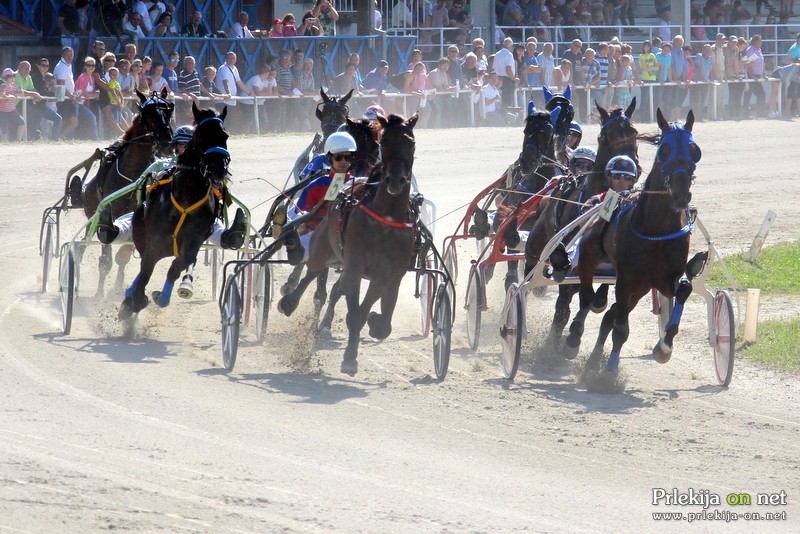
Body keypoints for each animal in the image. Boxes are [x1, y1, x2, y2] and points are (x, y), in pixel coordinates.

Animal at [79, 88, 173, 298]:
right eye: (150, 116)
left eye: (169, 111)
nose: (166, 143)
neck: (133, 174)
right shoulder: (106, 217)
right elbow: (106, 260)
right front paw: (99, 295)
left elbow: (124, 256)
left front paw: (117, 289)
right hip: (91, 211)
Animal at [119, 104, 231, 320]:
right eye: (202, 135)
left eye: (225, 135)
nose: (218, 169)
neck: (187, 194)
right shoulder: (155, 238)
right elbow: (146, 271)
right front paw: (136, 299)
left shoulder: (194, 238)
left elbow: (180, 264)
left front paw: (166, 294)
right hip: (142, 231)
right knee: (145, 263)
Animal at [278, 112, 418, 376]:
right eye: (385, 142)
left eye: (411, 143)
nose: (395, 180)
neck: (386, 219)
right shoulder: (354, 266)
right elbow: (352, 312)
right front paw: (350, 358)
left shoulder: (390, 275)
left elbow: (379, 320)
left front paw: (374, 320)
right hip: (323, 245)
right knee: (311, 270)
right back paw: (289, 299)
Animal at [564, 109, 700, 376]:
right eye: (664, 150)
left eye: (694, 150)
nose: (681, 194)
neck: (657, 229)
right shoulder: (627, 279)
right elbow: (620, 329)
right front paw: (609, 373)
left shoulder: (663, 278)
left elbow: (684, 288)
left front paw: (664, 347)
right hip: (589, 257)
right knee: (586, 294)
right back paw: (575, 336)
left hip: (640, 288)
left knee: (608, 313)